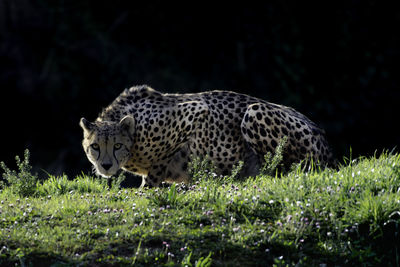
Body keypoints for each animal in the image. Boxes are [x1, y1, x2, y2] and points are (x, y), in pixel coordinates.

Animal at [79, 85, 332, 186]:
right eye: (95, 146)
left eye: (117, 146)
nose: (106, 166)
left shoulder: (196, 112)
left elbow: (159, 165)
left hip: (254, 112)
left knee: (285, 171)